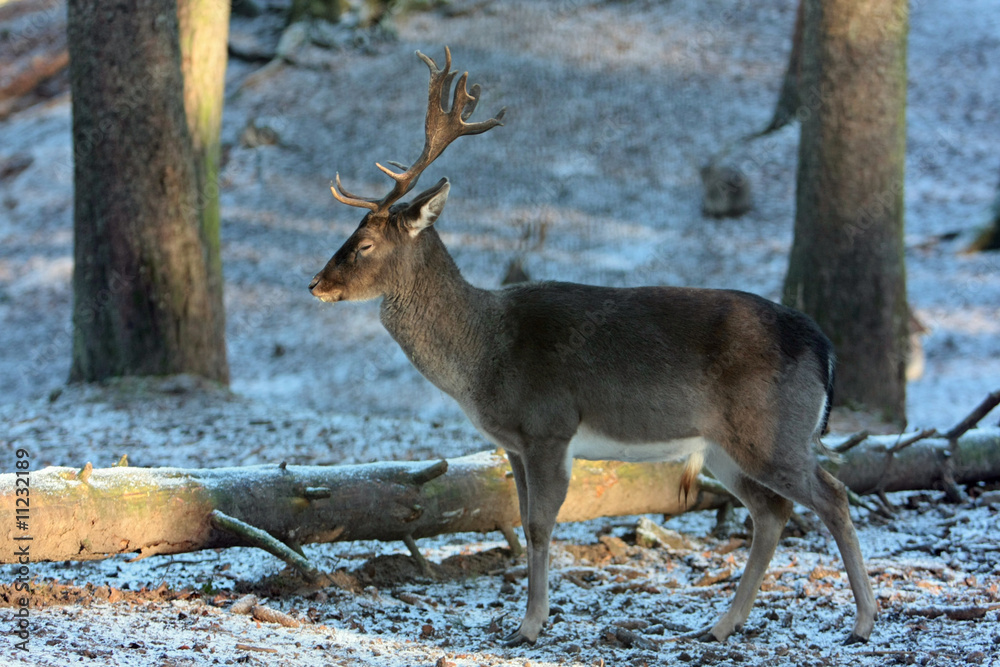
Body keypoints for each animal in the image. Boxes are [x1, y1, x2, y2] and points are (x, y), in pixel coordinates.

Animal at [309, 47, 877, 647]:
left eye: (364, 244)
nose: (315, 284)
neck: (484, 356)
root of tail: (824, 348)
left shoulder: (549, 425)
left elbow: (540, 525)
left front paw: (530, 625)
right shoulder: (513, 443)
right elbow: (522, 519)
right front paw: (527, 619)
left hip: (772, 429)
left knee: (832, 494)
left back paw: (862, 621)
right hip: (727, 447)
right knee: (771, 511)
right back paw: (722, 625)